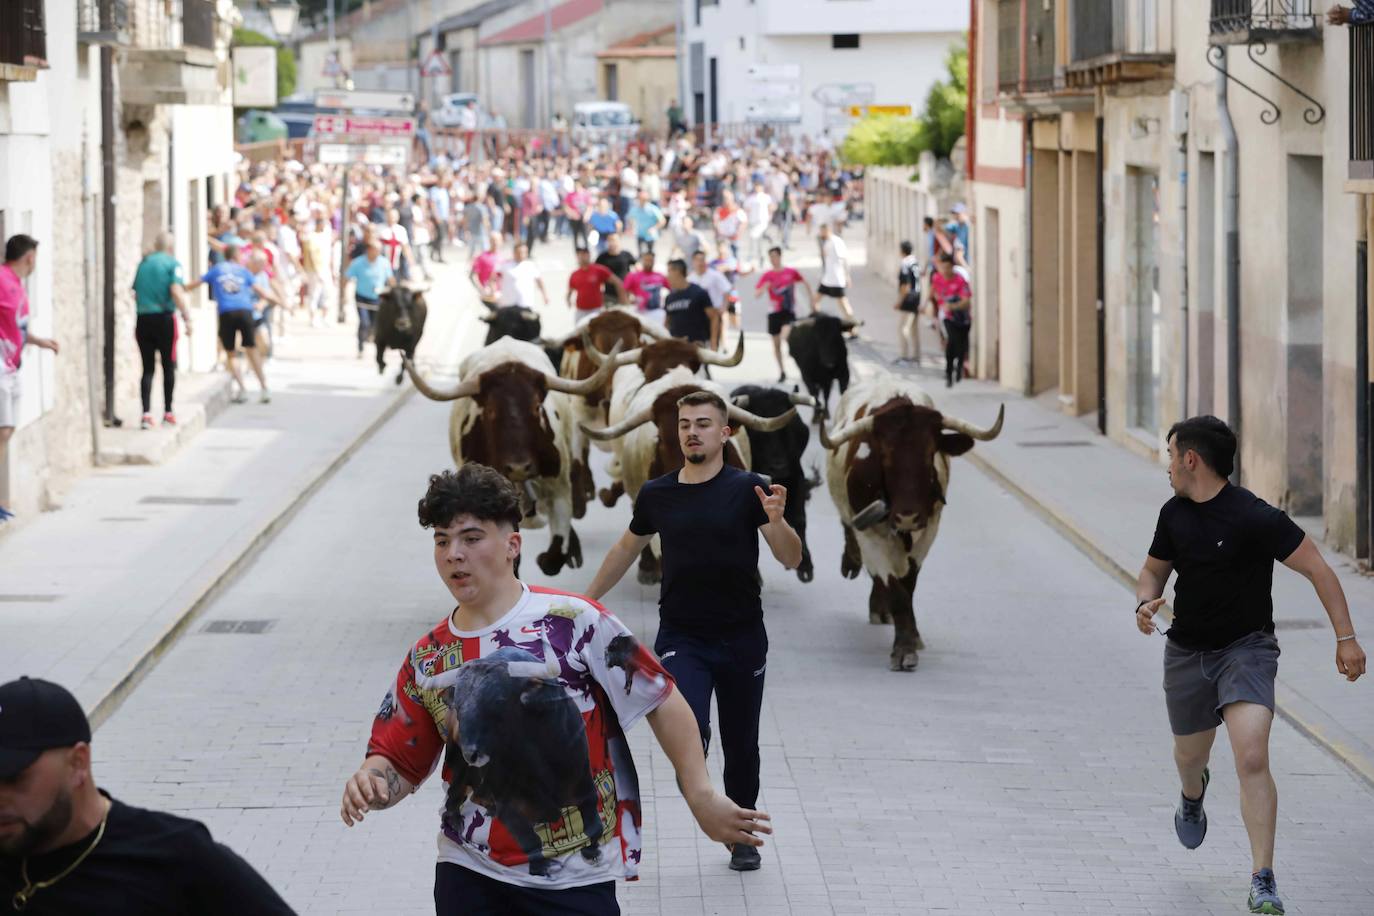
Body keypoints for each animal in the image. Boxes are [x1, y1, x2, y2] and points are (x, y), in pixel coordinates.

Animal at [818, 373, 1005, 672]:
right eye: (884, 454)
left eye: (930, 453)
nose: (908, 515)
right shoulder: (871, 535)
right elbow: (895, 589)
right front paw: (903, 649)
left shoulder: (928, 531)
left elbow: (909, 585)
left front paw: (911, 639)